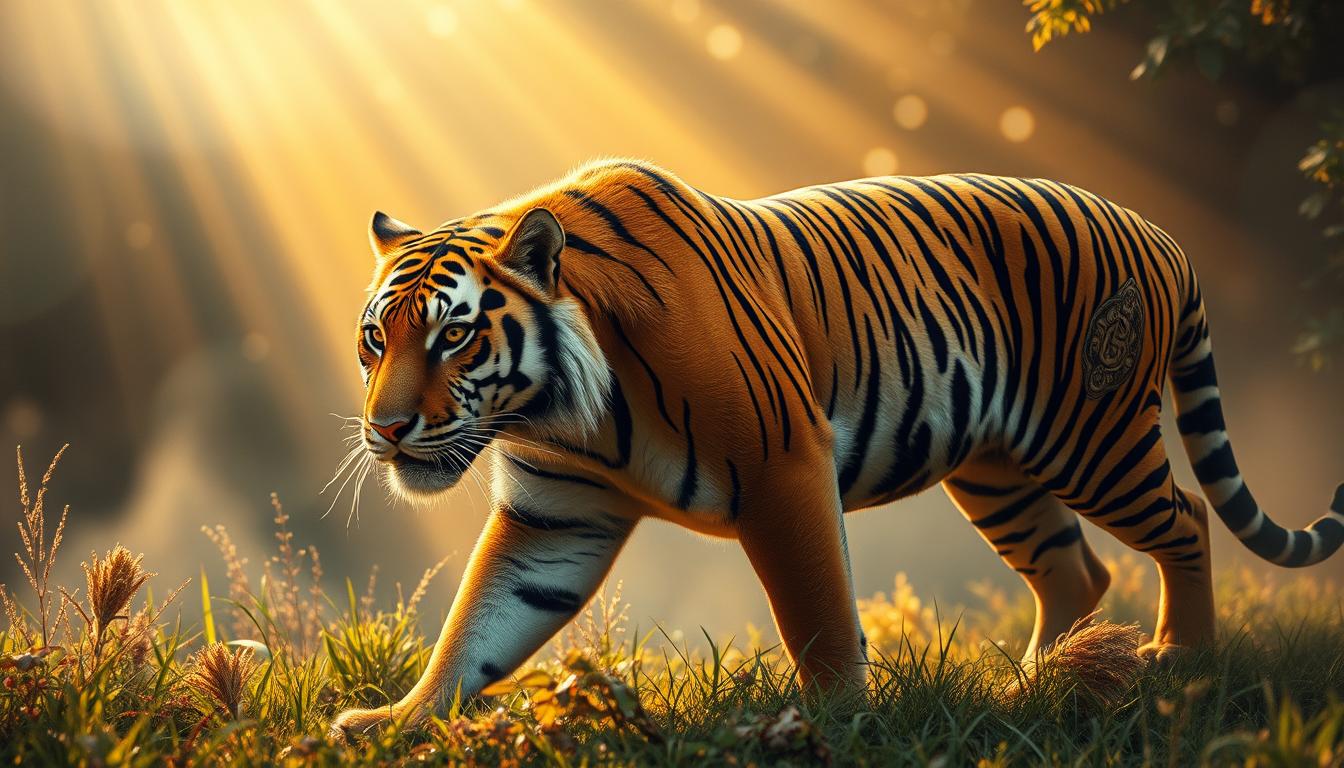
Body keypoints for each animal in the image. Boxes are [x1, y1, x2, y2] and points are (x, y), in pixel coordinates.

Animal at [329, 158, 1344, 740]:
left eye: (454, 337)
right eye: (377, 340)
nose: (385, 430)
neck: (559, 410)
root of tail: (1160, 233)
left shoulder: (782, 466)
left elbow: (815, 610)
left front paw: (833, 723)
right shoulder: (552, 514)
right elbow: (478, 624)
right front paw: (396, 722)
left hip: (1093, 439)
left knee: (1188, 519)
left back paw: (1182, 659)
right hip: (1000, 472)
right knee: (1077, 571)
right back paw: (1036, 684)